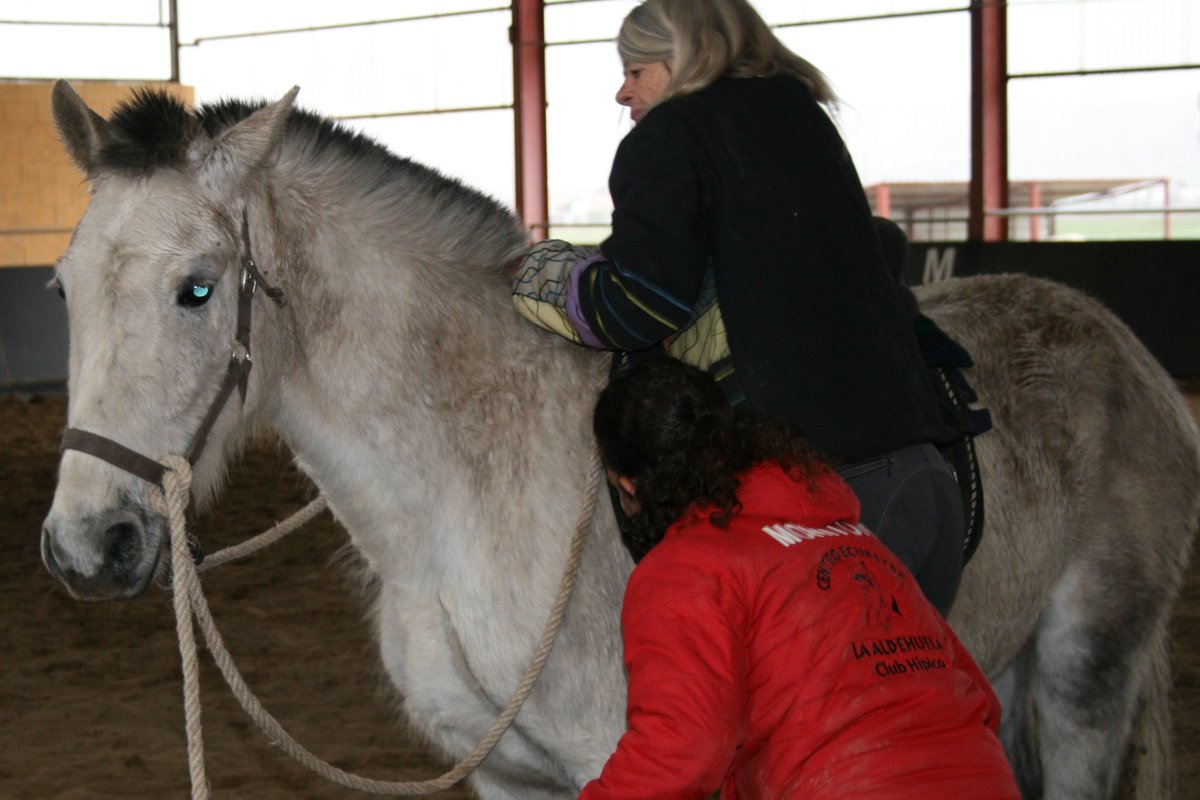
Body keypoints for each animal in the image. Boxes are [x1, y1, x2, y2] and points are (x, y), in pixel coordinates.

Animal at [40, 82, 1200, 800]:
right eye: (60, 287)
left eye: (197, 288)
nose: (88, 545)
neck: (470, 485)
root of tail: (1118, 344)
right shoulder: (509, 774)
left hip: (1084, 674)